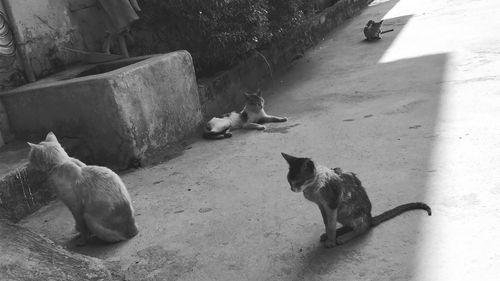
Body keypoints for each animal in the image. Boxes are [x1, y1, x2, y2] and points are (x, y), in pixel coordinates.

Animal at [282, 152, 430, 246]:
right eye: (289, 180)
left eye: (298, 181)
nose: (292, 189)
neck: (313, 188)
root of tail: (370, 217)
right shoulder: (322, 206)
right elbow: (327, 223)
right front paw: (328, 235)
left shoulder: (332, 203)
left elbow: (331, 225)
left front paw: (331, 241)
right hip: (342, 212)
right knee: (349, 225)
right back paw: (337, 233)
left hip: (350, 210)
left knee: (362, 227)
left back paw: (343, 237)